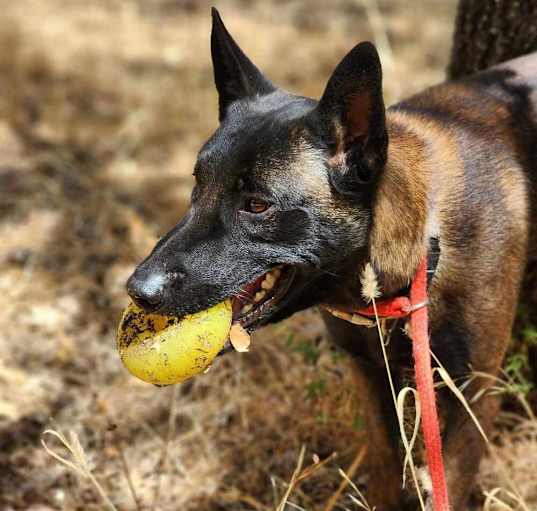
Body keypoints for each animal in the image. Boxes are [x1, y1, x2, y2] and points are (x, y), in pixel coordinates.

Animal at [126, 5, 536, 511]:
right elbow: (387, 475)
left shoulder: (468, 402)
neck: (423, 245)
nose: (138, 291)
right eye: (198, 186)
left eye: (257, 205)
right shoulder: (373, 381)